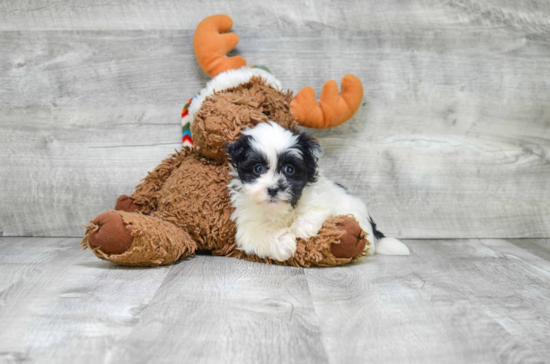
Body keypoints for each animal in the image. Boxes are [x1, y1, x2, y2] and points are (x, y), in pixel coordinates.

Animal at [226, 121, 412, 262]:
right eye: (257, 169)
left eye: (289, 169)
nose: (273, 189)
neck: (280, 210)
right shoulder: (247, 225)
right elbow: (256, 234)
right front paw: (283, 242)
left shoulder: (319, 196)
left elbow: (317, 209)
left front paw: (302, 227)